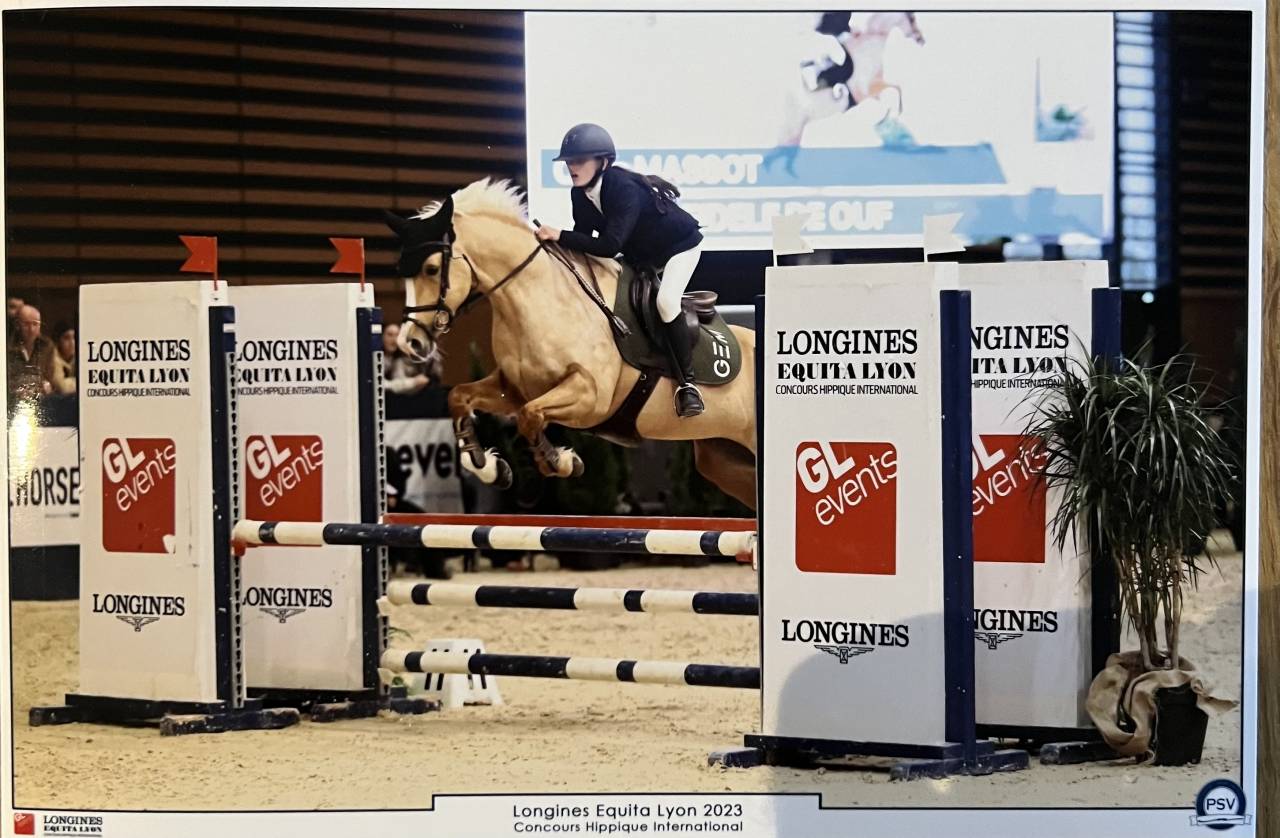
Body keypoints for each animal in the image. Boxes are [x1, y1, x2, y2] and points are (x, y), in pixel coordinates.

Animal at [382, 178, 758, 511]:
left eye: (432, 269)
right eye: (401, 271)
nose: (410, 343)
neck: (538, 298)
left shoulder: (590, 396)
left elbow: (530, 416)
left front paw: (560, 461)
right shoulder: (514, 387)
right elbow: (460, 397)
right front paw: (486, 466)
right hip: (722, 458)